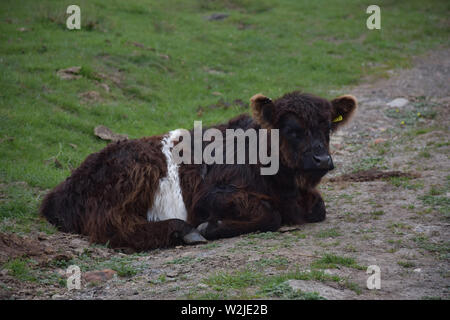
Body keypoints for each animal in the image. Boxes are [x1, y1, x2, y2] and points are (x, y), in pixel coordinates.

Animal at [42, 90, 358, 250]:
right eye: (292, 130)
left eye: (328, 128)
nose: (322, 160)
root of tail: (58, 192)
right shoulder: (209, 196)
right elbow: (270, 214)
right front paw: (213, 227)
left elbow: (318, 208)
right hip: (136, 172)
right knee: (112, 226)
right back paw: (183, 231)